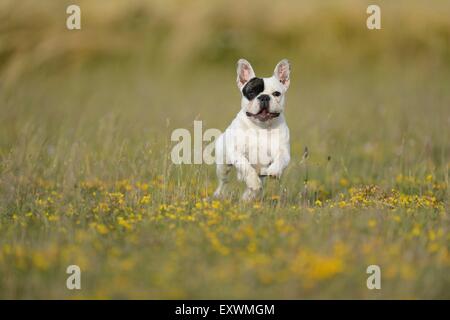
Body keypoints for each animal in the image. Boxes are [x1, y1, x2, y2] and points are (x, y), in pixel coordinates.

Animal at [214, 58, 292, 200]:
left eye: (276, 94)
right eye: (251, 92)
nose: (264, 97)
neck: (260, 126)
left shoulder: (283, 151)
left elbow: (280, 159)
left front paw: (274, 171)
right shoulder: (236, 152)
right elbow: (246, 166)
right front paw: (253, 182)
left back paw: (248, 197)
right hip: (223, 166)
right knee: (223, 181)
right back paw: (219, 193)